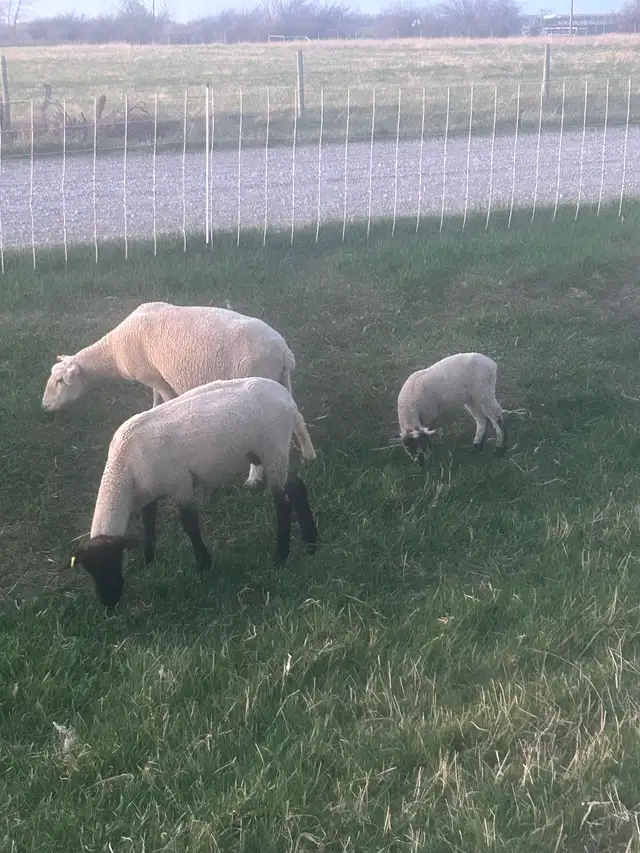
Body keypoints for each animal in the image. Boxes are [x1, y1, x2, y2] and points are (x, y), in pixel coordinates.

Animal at [41, 301, 302, 488]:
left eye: (60, 381)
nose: (44, 407)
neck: (113, 351)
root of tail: (284, 351)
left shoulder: (156, 376)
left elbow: (166, 399)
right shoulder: (153, 374)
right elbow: (155, 397)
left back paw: (253, 478)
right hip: (280, 382)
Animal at [65, 377, 318, 607]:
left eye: (111, 562)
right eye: (90, 570)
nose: (109, 603)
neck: (124, 475)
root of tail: (288, 399)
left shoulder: (180, 483)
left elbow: (189, 524)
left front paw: (203, 565)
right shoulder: (151, 490)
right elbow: (149, 523)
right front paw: (149, 560)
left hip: (273, 448)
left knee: (282, 502)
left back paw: (280, 556)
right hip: (271, 454)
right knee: (297, 486)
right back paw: (311, 543)